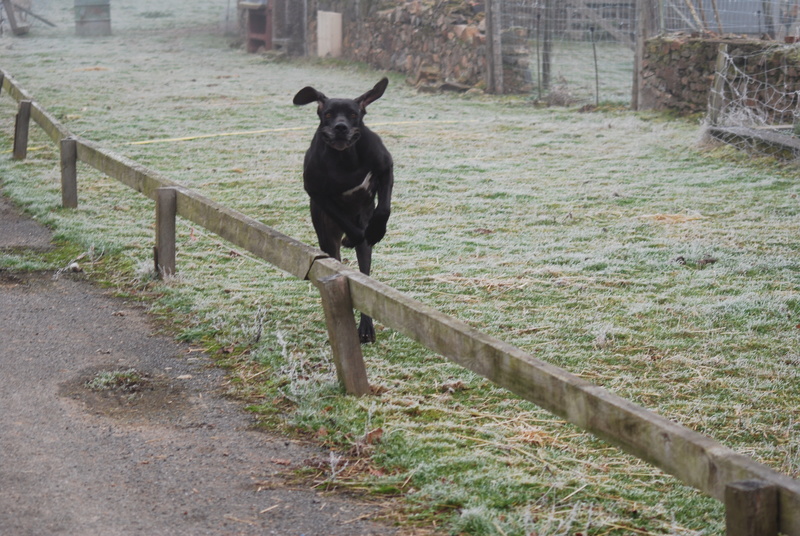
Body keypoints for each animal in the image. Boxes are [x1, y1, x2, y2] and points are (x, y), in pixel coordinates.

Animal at [294, 77, 394, 344]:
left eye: (353, 114)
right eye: (328, 114)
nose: (340, 127)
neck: (345, 160)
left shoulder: (385, 168)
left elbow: (384, 208)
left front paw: (377, 230)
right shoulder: (317, 193)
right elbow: (343, 219)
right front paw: (353, 235)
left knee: (364, 278)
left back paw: (366, 327)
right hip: (326, 238)